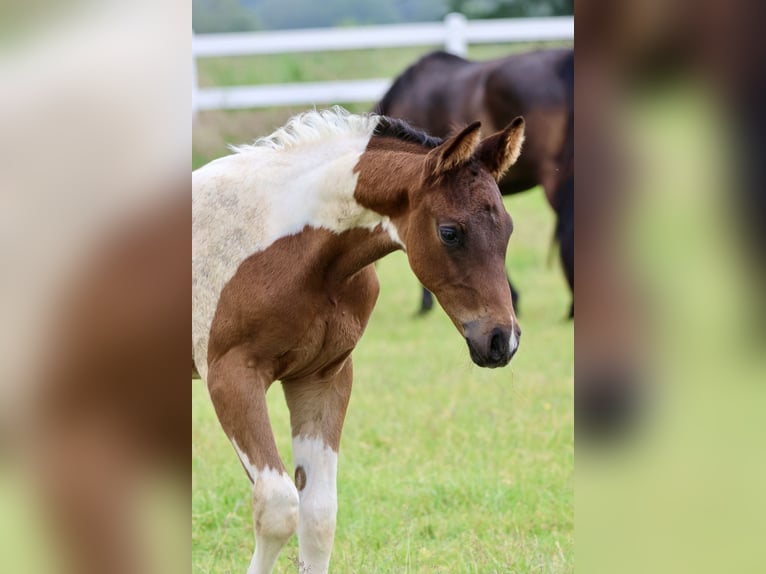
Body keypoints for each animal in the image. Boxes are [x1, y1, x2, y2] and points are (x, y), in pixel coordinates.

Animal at [194, 109, 528, 574]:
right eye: (449, 232)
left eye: (509, 228)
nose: (501, 340)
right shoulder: (231, 376)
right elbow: (279, 506)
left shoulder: (321, 377)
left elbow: (319, 516)